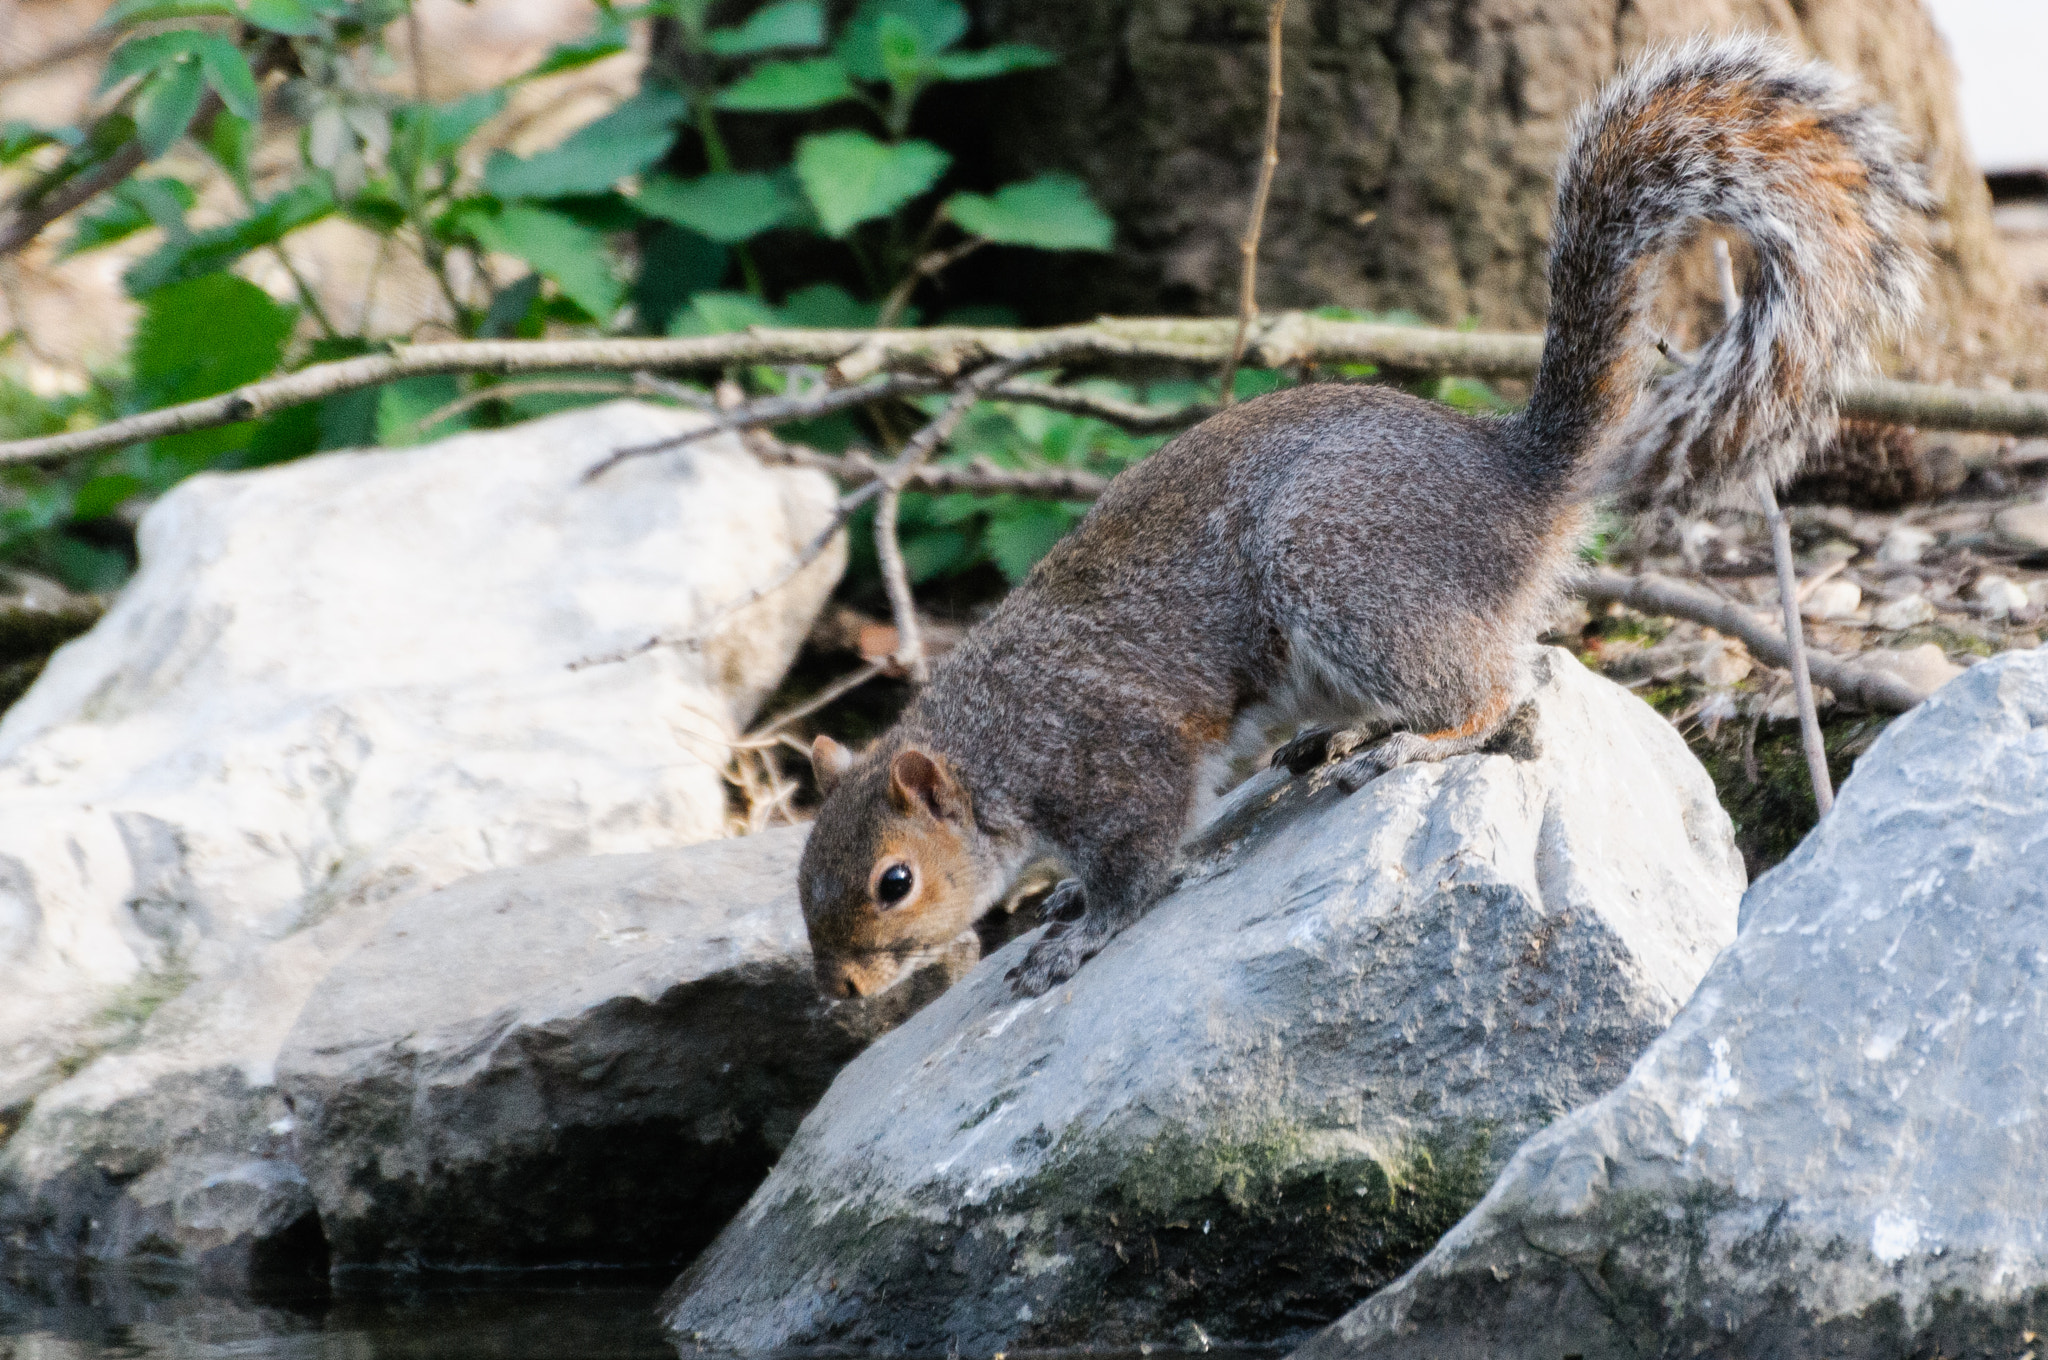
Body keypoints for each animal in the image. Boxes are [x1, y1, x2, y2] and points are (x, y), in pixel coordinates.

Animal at [798, 34, 1933, 999]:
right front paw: (1061, 898)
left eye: (893, 881)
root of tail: (1515, 474)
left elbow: (1140, 861)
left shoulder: (1116, 759)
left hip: (1346, 572)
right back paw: (1339, 737)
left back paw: (1412, 745)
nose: (842, 992)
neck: (989, 742)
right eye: (805, 872)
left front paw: (1079, 932)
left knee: (1498, 692)